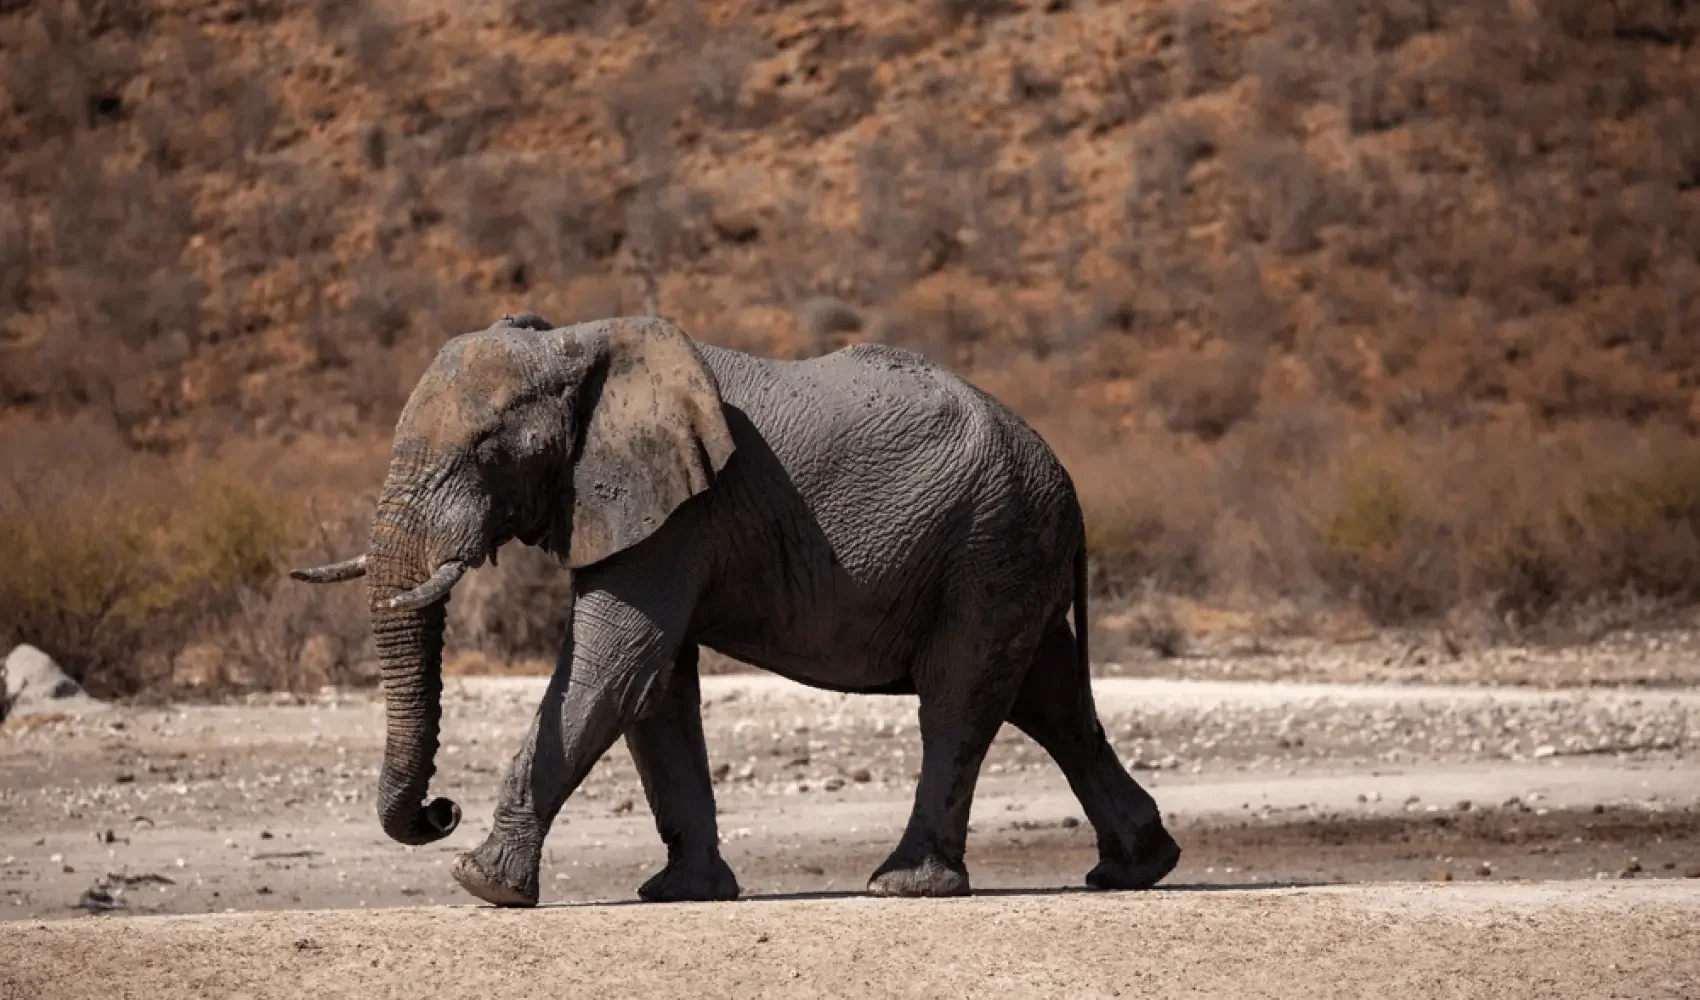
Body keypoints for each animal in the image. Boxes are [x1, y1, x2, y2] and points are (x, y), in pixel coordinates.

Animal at [291, 312, 1180, 907]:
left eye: (485, 453)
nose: (441, 809)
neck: (578, 343)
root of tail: (1066, 480)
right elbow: (652, 689)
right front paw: (680, 893)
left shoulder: (679, 511)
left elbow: (615, 665)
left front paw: (483, 884)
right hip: (1012, 551)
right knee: (1052, 702)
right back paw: (1135, 869)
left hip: (992, 543)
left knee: (960, 703)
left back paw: (904, 885)